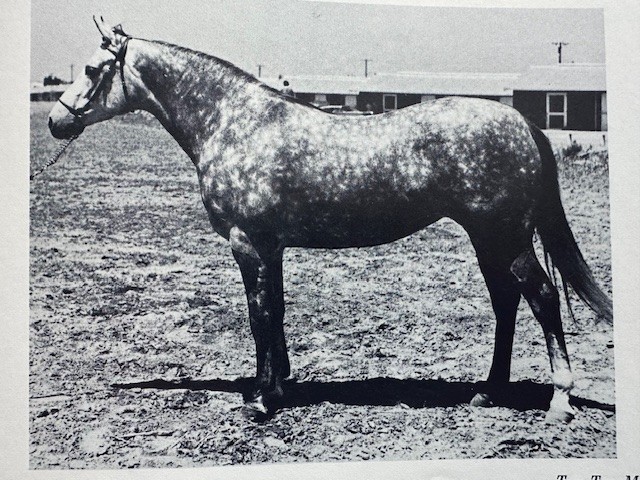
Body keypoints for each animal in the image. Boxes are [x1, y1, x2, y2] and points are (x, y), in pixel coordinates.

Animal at [48, 18, 612, 423]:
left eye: (94, 70)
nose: (55, 121)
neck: (234, 123)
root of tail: (521, 121)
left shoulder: (248, 243)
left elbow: (258, 315)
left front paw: (260, 400)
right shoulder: (270, 247)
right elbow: (275, 311)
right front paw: (278, 386)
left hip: (505, 237)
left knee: (541, 298)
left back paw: (559, 402)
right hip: (488, 240)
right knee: (506, 303)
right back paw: (489, 392)